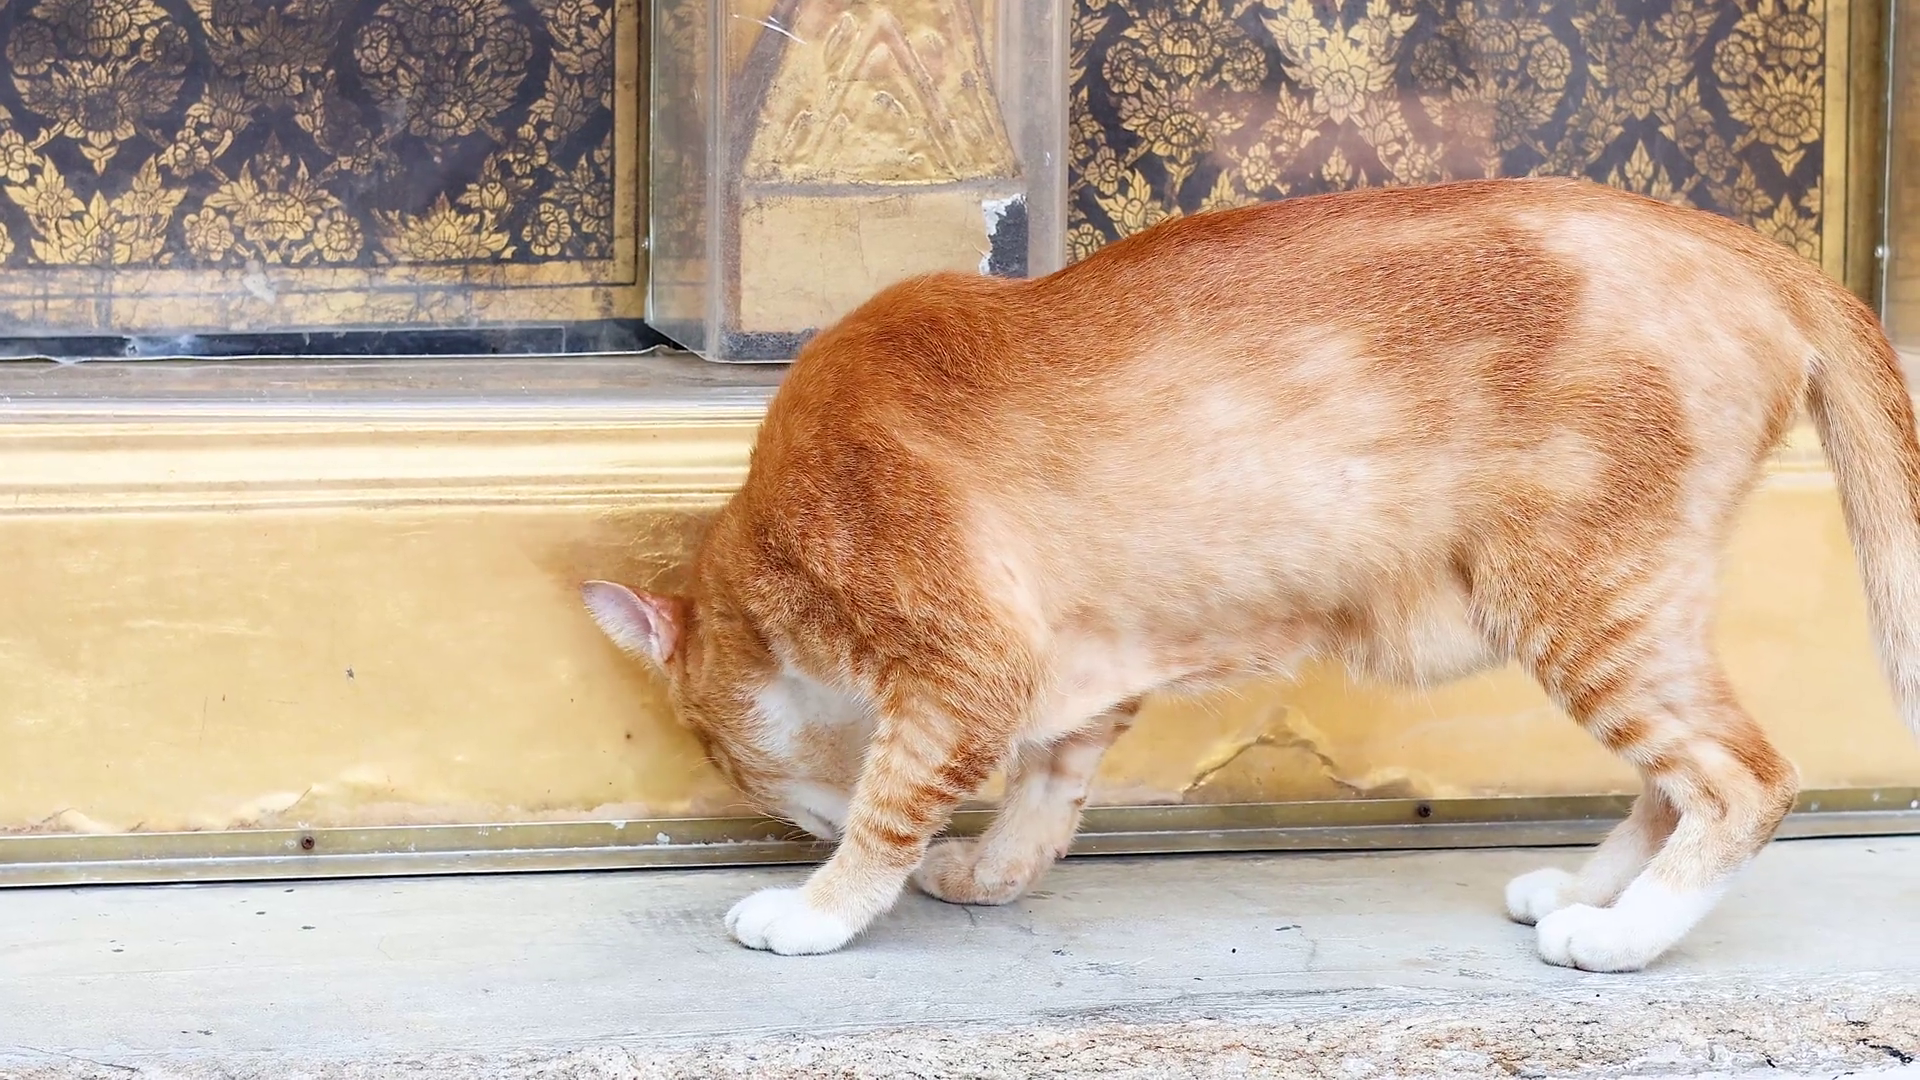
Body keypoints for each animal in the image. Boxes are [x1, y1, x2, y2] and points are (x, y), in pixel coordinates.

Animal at [582, 176, 1920, 972]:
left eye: (722, 758)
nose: (778, 821)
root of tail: (1749, 246)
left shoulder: (964, 661)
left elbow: (892, 806)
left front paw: (816, 907)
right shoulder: (1080, 663)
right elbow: (1045, 794)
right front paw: (993, 872)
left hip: (1585, 605)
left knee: (1743, 779)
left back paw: (1622, 938)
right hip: (1633, 611)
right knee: (1671, 778)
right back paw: (1582, 897)